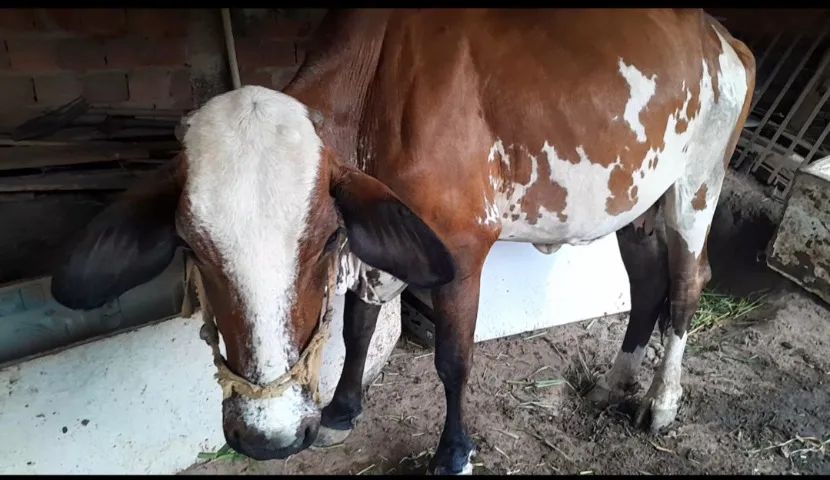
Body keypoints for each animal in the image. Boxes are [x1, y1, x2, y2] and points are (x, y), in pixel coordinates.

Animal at [49, 8, 755, 475]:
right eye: (191, 246)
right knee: (647, 283)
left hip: (697, 185)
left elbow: (452, 359)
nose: (269, 437)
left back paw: (660, 402)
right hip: (637, 199)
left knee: (687, 285)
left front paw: (454, 451)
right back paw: (614, 383)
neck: (376, 89)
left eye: (322, 239)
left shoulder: (460, 251)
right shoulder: (380, 230)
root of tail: (721, 35)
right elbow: (359, 323)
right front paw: (341, 412)